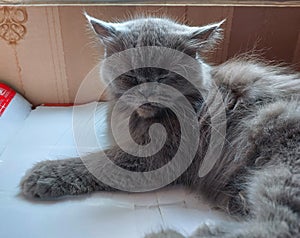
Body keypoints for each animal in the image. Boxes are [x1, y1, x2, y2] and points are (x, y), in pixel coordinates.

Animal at [21, 13, 300, 237]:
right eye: (131, 75)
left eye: (165, 75)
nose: (147, 91)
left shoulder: (157, 159)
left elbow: (96, 163)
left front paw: (42, 174)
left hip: (283, 169)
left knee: (278, 226)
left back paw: (168, 234)